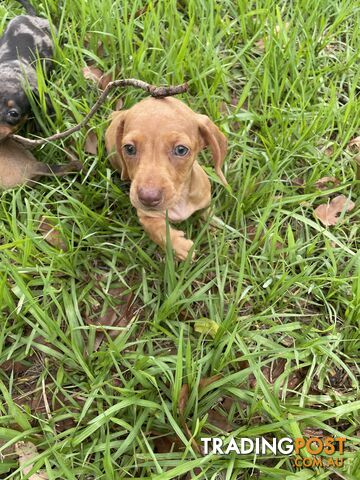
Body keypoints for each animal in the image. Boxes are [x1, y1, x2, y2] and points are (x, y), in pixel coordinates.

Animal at [105, 96, 228, 260]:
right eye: (129, 148)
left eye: (181, 150)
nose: (148, 198)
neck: (180, 199)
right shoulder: (145, 216)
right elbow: (159, 231)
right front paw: (180, 247)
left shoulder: (205, 200)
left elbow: (208, 214)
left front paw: (215, 228)